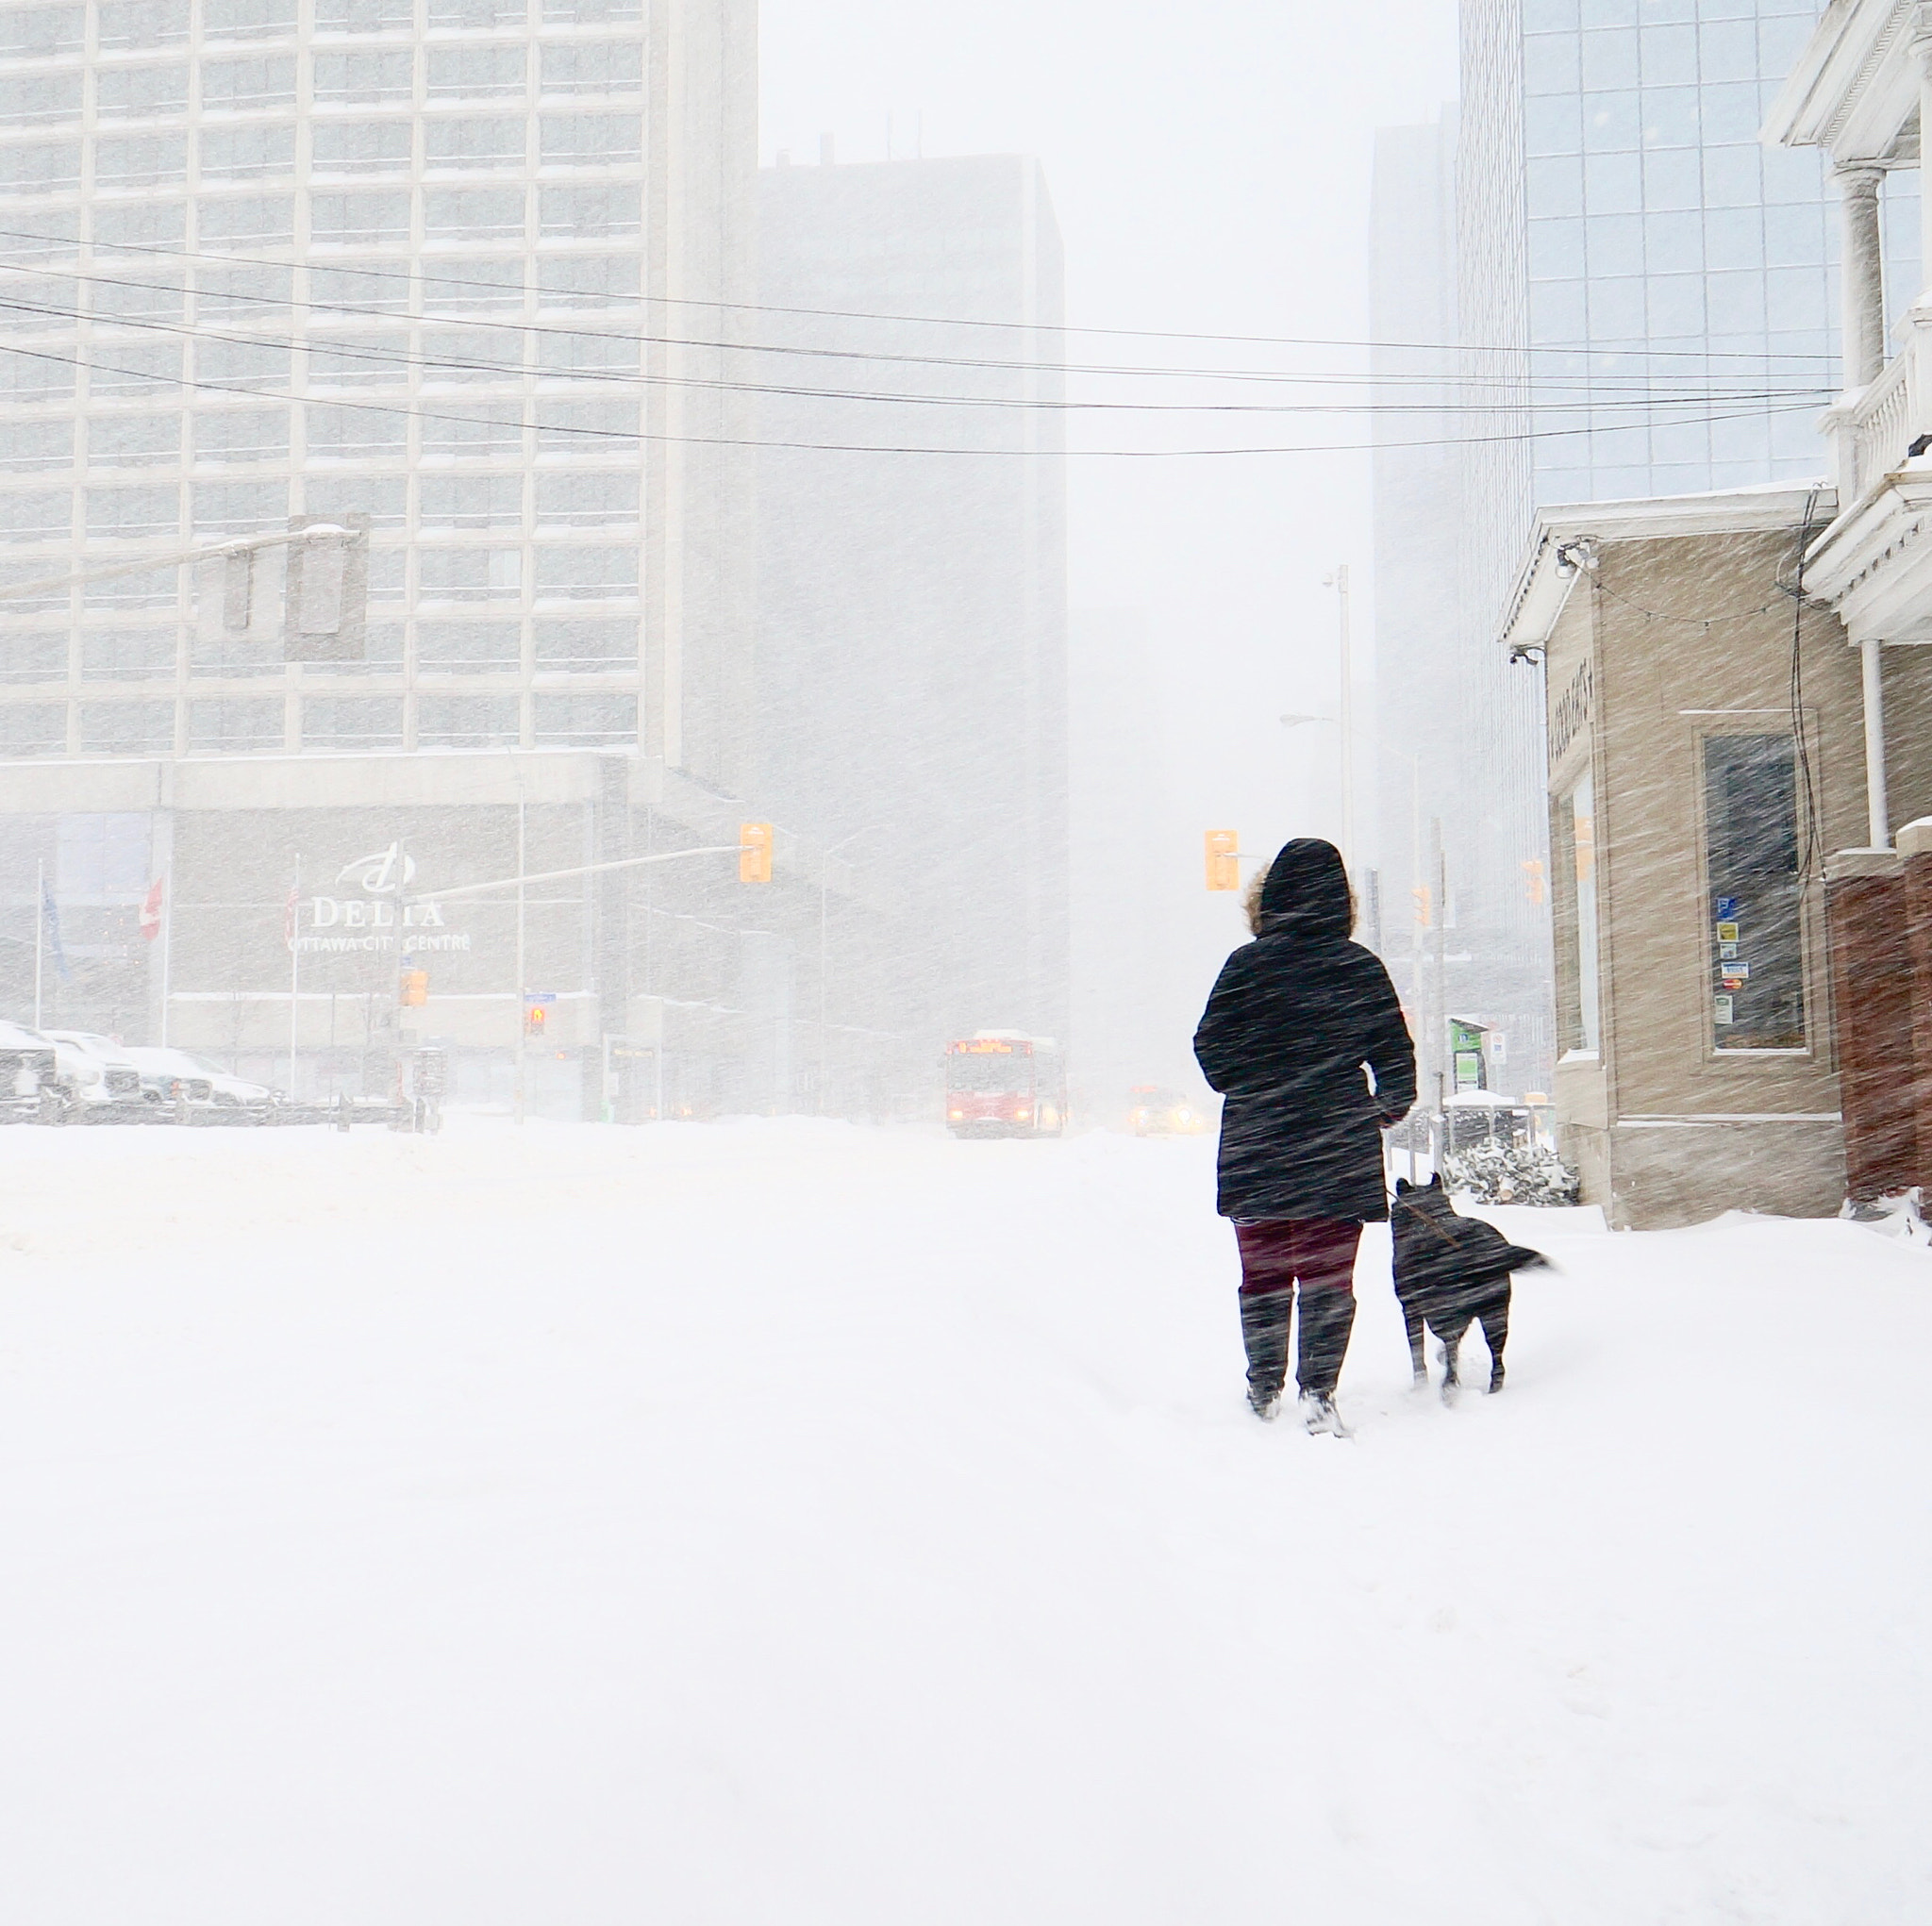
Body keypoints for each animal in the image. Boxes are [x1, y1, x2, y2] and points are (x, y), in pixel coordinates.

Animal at [1398, 1182, 1545, 1390]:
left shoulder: (1410, 1309)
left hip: (1443, 1312)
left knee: (1450, 1344)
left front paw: (1420, 1386)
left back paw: (1449, 1388)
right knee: (1496, 1358)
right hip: (1496, 1312)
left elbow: (1417, 1352)